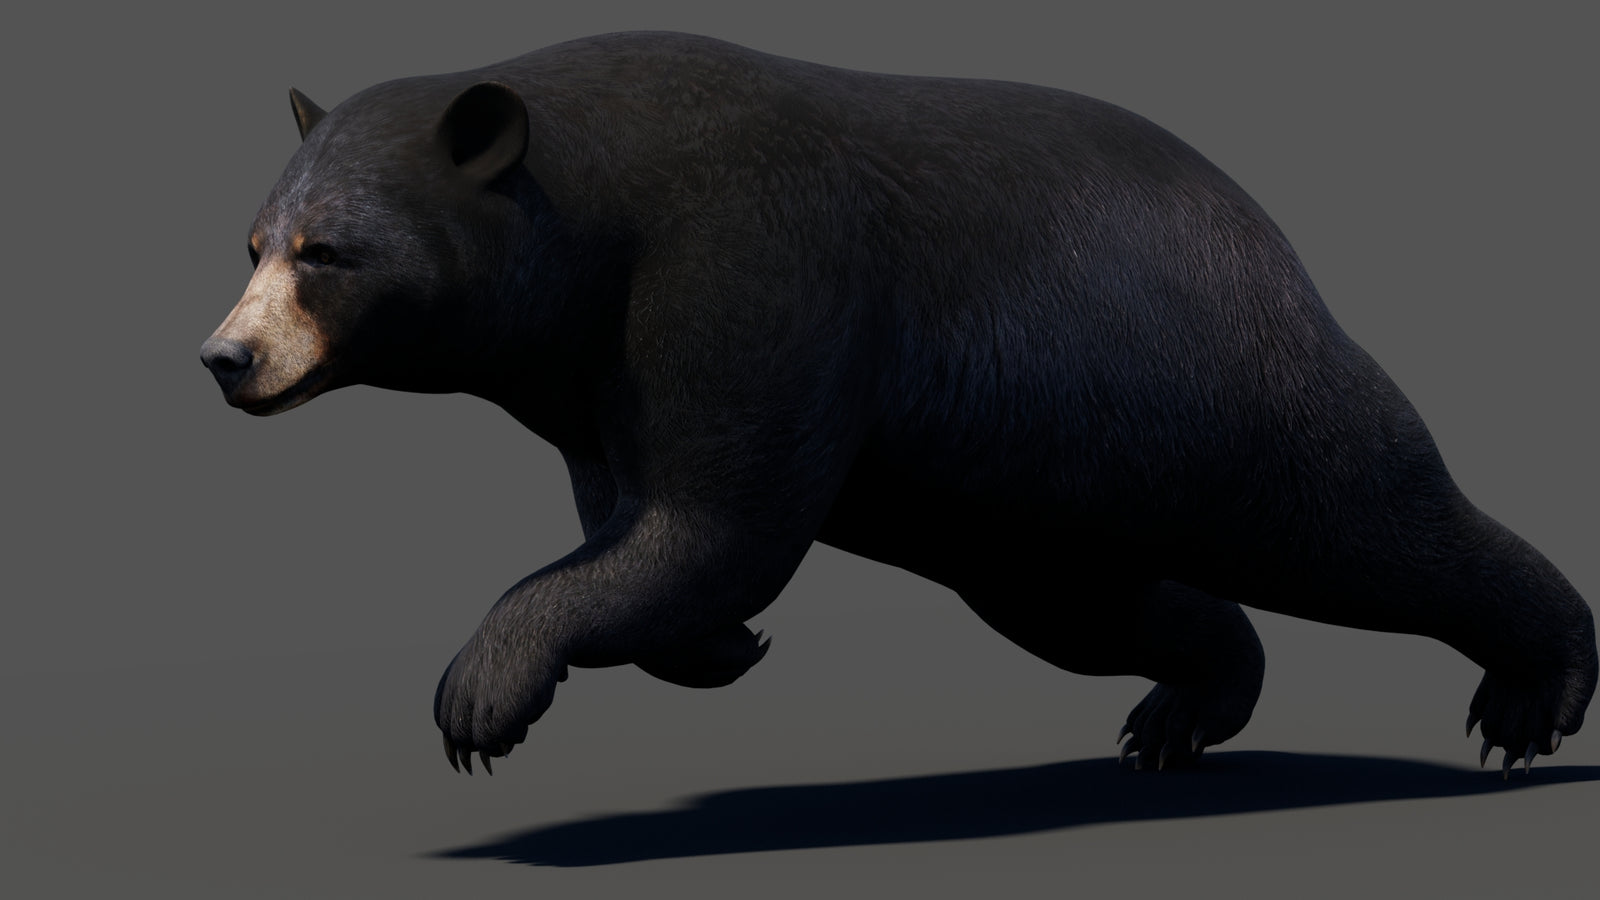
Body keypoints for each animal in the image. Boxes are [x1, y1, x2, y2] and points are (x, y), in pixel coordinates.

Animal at [201, 31, 1596, 778]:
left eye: (328, 252)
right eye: (254, 242)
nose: (225, 359)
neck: (596, 220)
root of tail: (1272, 240)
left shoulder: (753, 265)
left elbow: (723, 518)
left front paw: (484, 692)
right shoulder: (591, 371)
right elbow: (638, 517)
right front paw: (710, 647)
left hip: (1211, 391)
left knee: (1367, 516)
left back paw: (1532, 692)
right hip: (1033, 506)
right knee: (1098, 605)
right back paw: (1185, 707)